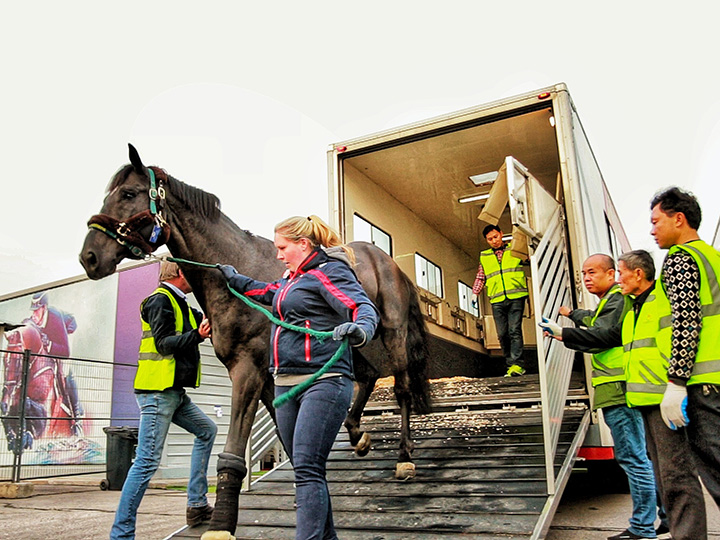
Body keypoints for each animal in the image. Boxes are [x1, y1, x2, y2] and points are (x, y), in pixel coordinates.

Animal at [1, 324, 81, 454]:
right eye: (4, 359)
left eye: (18, 360)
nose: (5, 403)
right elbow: (7, 416)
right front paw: (14, 440)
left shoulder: (47, 416)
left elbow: (30, 407)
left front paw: (25, 437)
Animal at [79, 144, 431, 539]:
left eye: (128, 194)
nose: (89, 257)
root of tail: (388, 262)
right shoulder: (272, 380)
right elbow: (288, 441)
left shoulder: (248, 372)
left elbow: (233, 450)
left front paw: (220, 524)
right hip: (351, 341)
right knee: (367, 377)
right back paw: (358, 435)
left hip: (392, 333)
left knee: (401, 388)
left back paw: (404, 458)